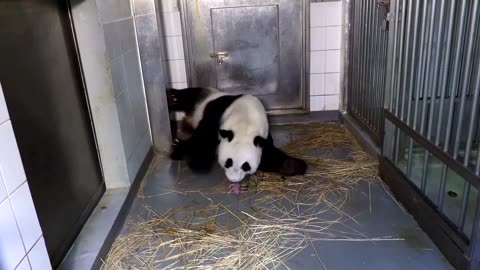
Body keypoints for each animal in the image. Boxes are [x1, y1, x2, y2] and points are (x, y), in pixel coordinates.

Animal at [167, 87, 306, 193]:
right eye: (228, 162)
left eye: (246, 165)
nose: (233, 179)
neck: (245, 123)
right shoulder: (217, 115)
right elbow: (202, 141)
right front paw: (183, 151)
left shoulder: (263, 137)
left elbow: (269, 156)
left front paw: (294, 166)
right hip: (200, 98)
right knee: (187, 95)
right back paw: (171, 96)